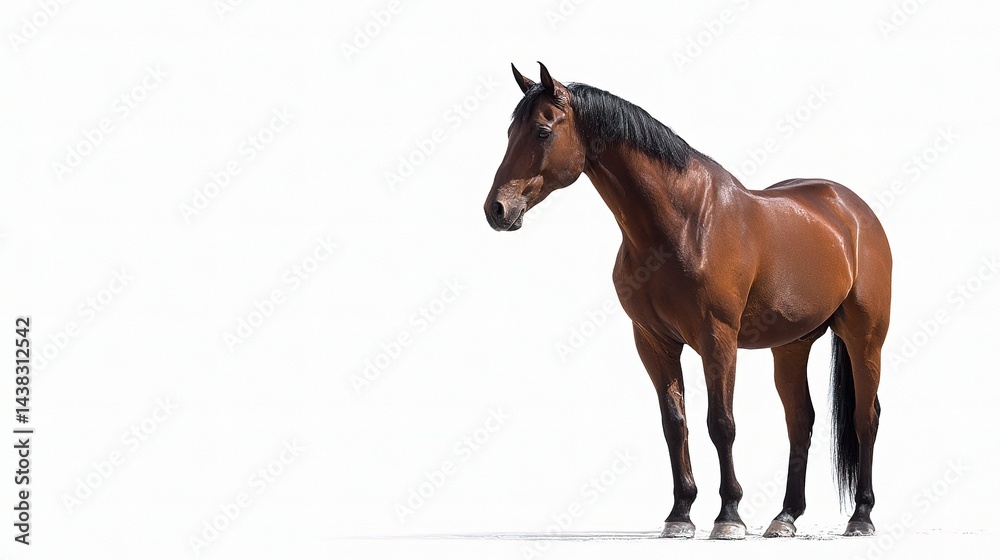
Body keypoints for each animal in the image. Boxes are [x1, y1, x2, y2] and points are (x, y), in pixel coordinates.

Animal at [482, 63, 891, 539]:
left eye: (544, 131)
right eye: (510, 131)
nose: (497, 210)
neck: (685, 222)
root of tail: (854, 212)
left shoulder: (718, 339)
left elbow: (721, 423)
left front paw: (728, 516)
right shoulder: (653, 342)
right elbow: (674, 424)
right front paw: (679, 514)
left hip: (865, 338)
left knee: (865, 419)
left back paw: (861, 517)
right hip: (792, 345)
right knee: (800, 421)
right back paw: (785, 517)